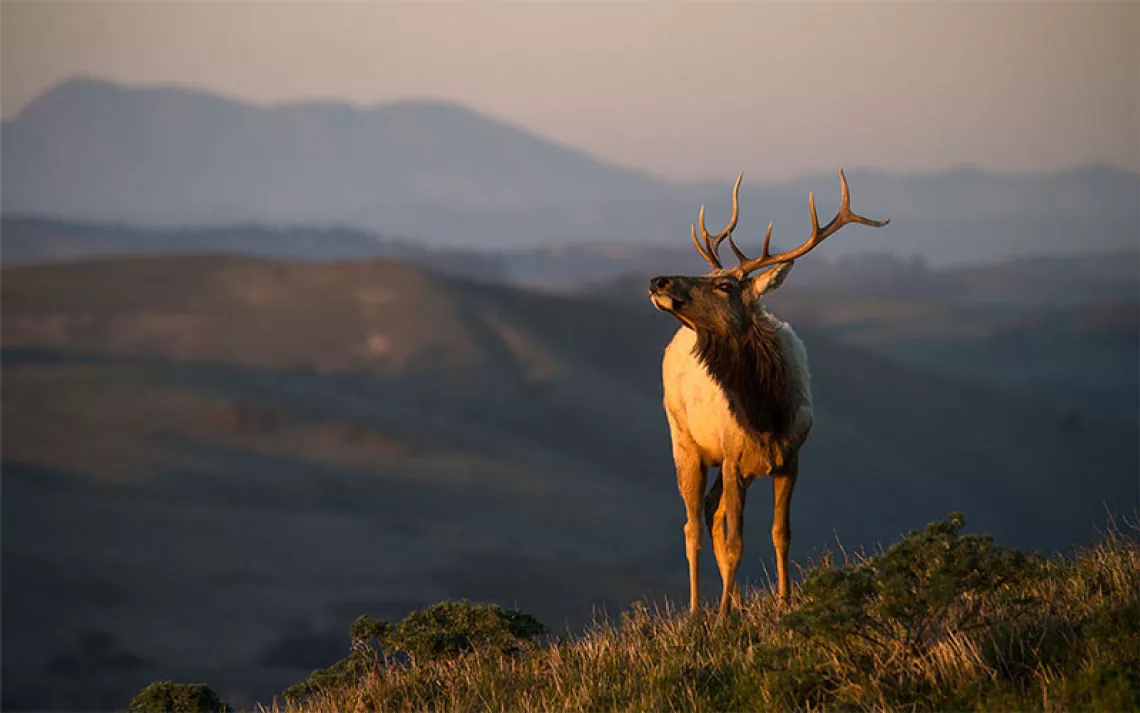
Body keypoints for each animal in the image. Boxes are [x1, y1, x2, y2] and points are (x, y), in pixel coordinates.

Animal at [652, 169, 889, 616]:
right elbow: (735, 543)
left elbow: (781, 533)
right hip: (684, 441)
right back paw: (696, 612)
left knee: (710, 513)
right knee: (692, 524)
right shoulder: (732, 458)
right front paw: (723, 619)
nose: (658, 280)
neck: (766, 414)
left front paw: (785, 602)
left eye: (725, 285)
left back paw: (732, 602)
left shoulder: (791, 457)